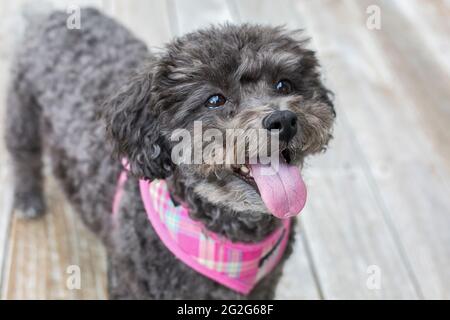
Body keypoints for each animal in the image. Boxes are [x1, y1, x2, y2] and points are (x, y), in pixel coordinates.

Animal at [4, 8, 334, 298]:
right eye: (215, 100)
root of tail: (52, 15)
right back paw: (28, 199)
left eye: (284, 84)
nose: (284, 120)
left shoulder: (265, 285)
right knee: (23, 157)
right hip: (22, 112)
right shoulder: (132, 284)